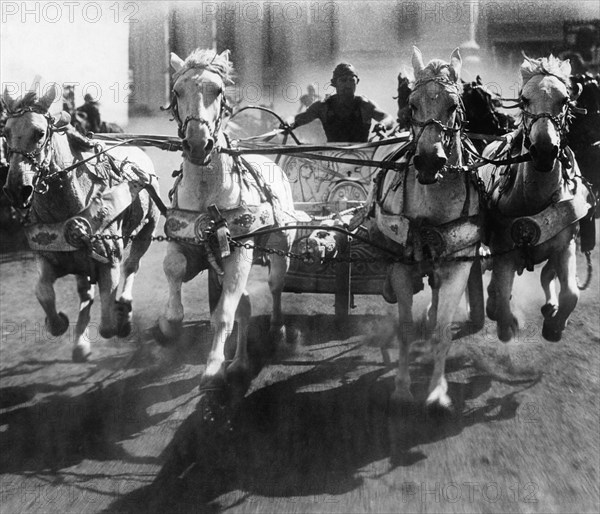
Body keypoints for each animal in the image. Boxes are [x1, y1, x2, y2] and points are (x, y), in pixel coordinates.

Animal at [158, 50, 296, 388]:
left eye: (218, 90)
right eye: (177, 91)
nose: (197, 144)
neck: (208, 194)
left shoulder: (240, 254)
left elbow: (222, 315)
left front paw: (213, 367)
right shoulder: (185, 244)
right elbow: (174, 267)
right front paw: (169, 324)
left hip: (280, 247)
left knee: (274, 286)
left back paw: (276, 329)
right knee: (244, 305)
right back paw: (239, 362)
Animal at [478, 55, 592, 340]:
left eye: (564, 99)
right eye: (524, 99)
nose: (543, 151)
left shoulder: (565, 244)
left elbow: (571, 294)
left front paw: (554, 325)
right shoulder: (504, 252)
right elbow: (500, 295)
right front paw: (507, 324)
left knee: (547, 276)